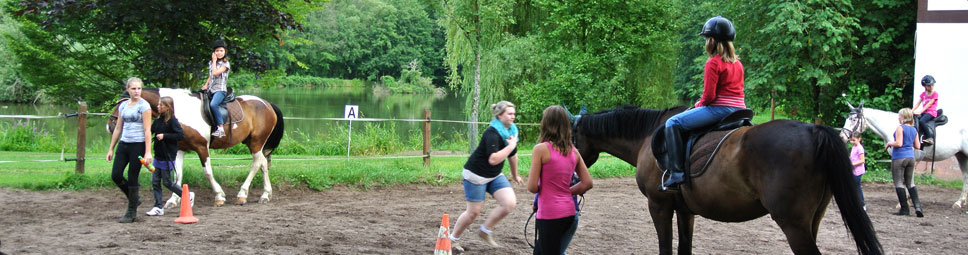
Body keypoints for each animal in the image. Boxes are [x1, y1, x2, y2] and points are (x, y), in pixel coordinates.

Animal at [111, 87, 284, 207]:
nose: (111, 125)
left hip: (256, 142)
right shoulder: (179, 148)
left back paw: (242, 195)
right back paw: (265, 195)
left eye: (126, 104)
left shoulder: (202, 148)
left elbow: (207, 172)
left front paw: (219, 196)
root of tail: (267, 104)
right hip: (253, 143)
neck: (179, 110)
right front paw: (174, 200)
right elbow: (178, 174)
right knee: (263, 164)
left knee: (256, 164)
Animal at [572, 105, 880, 255]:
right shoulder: (685, 211)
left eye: (571, 138)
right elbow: (684, 248)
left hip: (794, 224)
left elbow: (665, 248)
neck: (649, 136)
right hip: (812, 221)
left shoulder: (659, 207)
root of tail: (813, 131)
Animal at [840, 102, 968, 208]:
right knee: (965, 176)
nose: (842, 137)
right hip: (961, 156)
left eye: (854, 119)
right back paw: (959, 202)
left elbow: (906, 178)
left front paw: (904, 202)